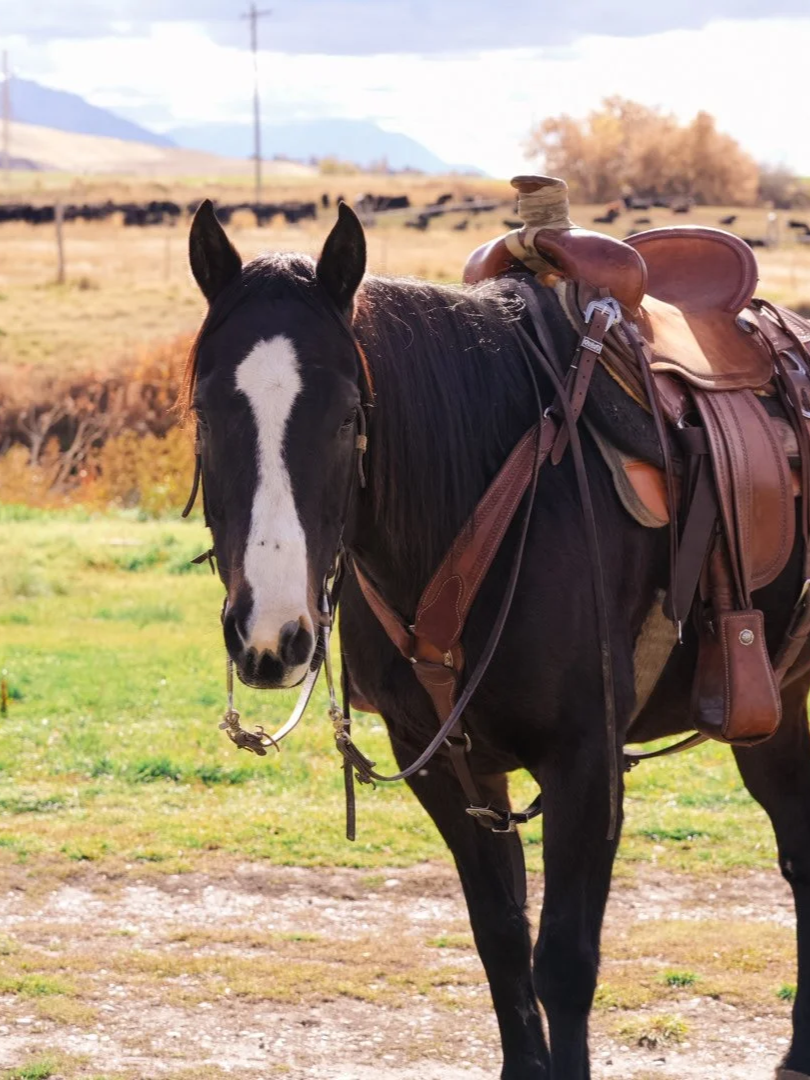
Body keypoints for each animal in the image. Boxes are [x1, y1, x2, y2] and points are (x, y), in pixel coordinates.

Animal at [183, 199, 810, 1079]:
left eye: (345, 417)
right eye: (206, 412)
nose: (271, 635)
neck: (491, 495)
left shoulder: (586, 765)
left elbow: (565, 964)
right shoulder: (446, 764)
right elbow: (502, 942)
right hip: (772, 705)